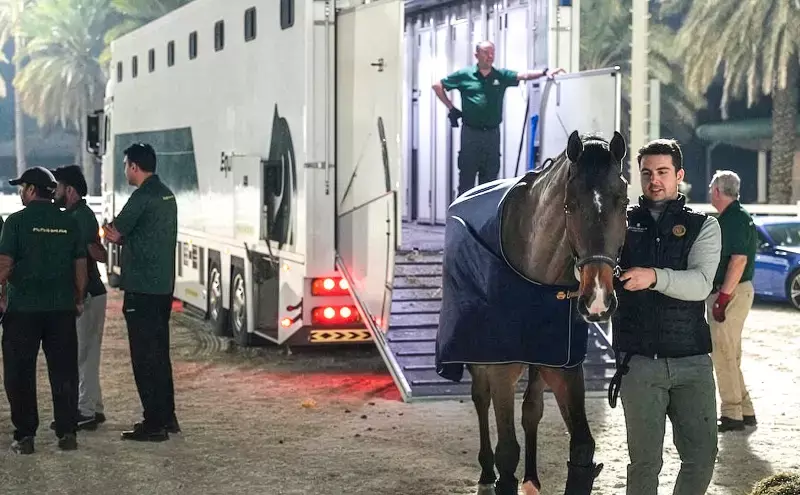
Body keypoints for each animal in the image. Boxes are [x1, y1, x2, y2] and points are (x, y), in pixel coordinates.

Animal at [435, 130, 629, 495]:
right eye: (569, 205)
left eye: (623, 202)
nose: (597, 299)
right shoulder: (501, 368)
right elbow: (507, 451)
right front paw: (499, 474)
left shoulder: (563, 367)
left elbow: (581, 446)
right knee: (480, 398)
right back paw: (486, 473)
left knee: (531, 410)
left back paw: (532, 480)